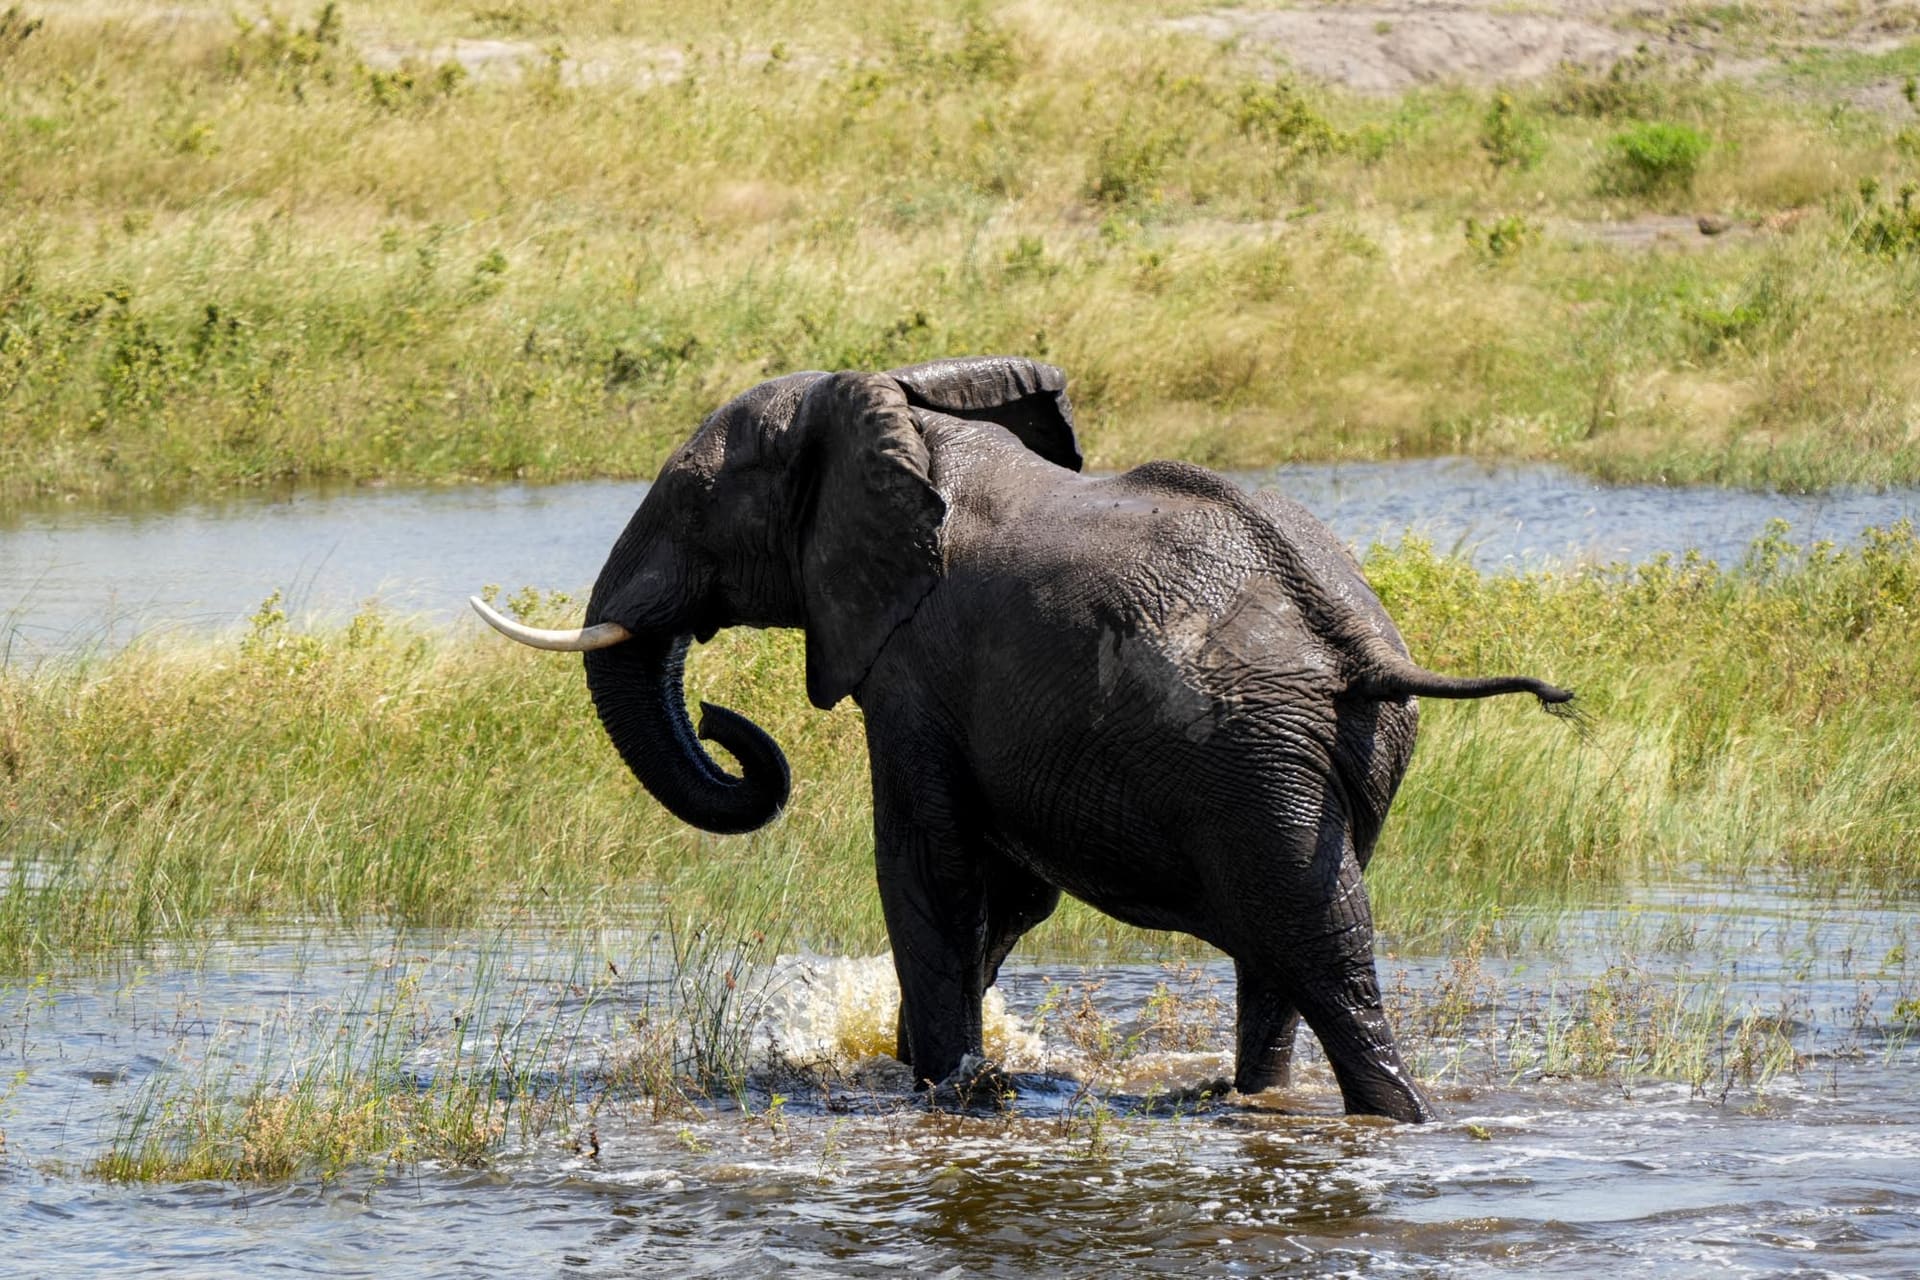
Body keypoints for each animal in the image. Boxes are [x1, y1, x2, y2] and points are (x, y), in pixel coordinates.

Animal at [472, 356, 1575, 1122]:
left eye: (695, 496)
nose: (717, 717)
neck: (901, 415)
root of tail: (1356, 642)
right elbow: (1005, 890)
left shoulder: (912, 665)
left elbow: (930, 865)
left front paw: (941, 1087)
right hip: (1342, 753)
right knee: (1288, 954)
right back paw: (1252, 1101)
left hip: (1252, 760)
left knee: (1322, 954)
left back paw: (1391, 1115)